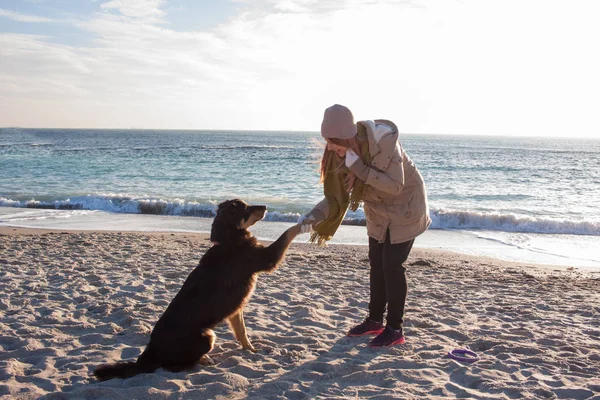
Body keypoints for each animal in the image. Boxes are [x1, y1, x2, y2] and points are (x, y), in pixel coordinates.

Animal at [96, 200, 302, 382]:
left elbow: (242, 331)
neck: (229, 240)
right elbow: (287, 233)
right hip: (207, 336)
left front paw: (250, 349)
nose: (265, 206)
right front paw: (303, 222)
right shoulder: (267, 258)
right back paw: (204, 359)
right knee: (175, 365)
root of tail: (151, 351)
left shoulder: (236, 310)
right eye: (245, 208)